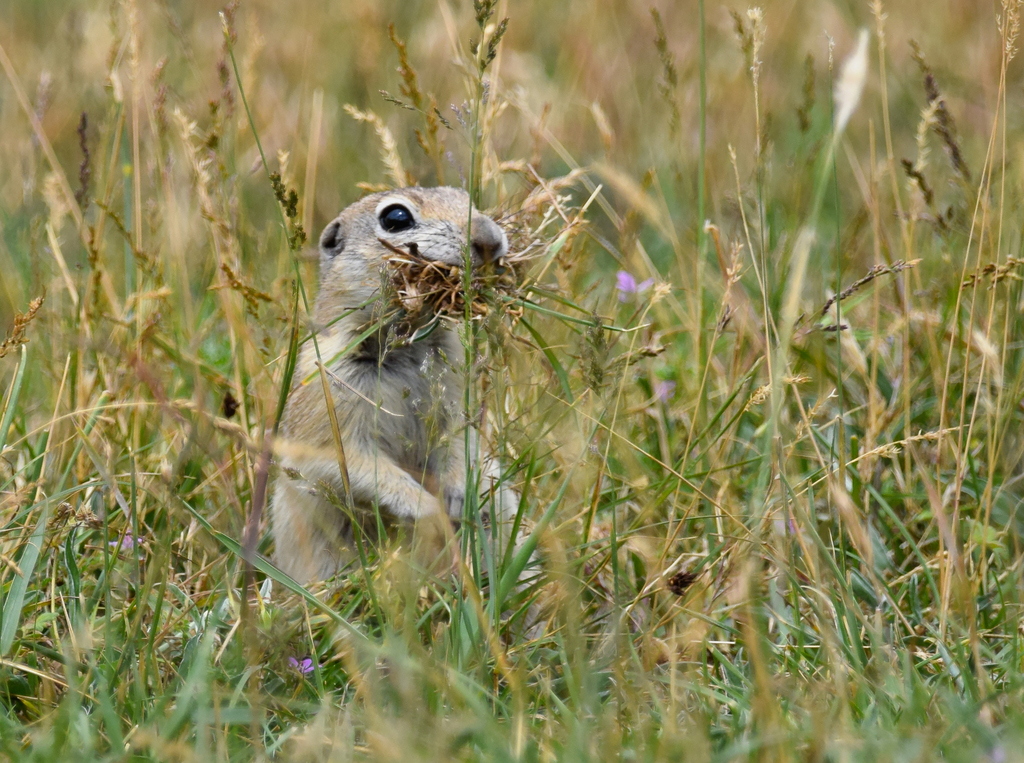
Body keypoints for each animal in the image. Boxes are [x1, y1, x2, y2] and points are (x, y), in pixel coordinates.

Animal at [271, 187, 515, 584]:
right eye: (396, 218)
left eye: (465, 197)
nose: (490, 240)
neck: (406, 345)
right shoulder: (327, 400)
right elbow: (353, 466)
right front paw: (431, 512)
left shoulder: (458, 387)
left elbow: (464, 438)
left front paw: (459, 495)